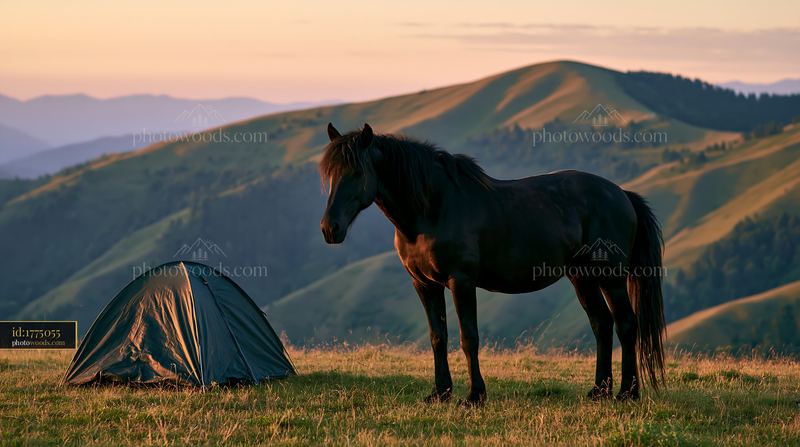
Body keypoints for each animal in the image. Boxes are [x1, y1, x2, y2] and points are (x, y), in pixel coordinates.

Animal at [319, 123, 666, 404]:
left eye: (357, 173)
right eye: (330, 175)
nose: (329, 228)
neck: (433, 208)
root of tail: (621, 193)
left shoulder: (461, 281)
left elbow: (468, 337)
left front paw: (474, 396)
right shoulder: (424, 284)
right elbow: (437, 337)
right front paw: (440, 393)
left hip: (611, 277)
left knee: (626, 323)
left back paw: (627, 393)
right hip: (582, 277)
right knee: (602, 324)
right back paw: (599, 391)